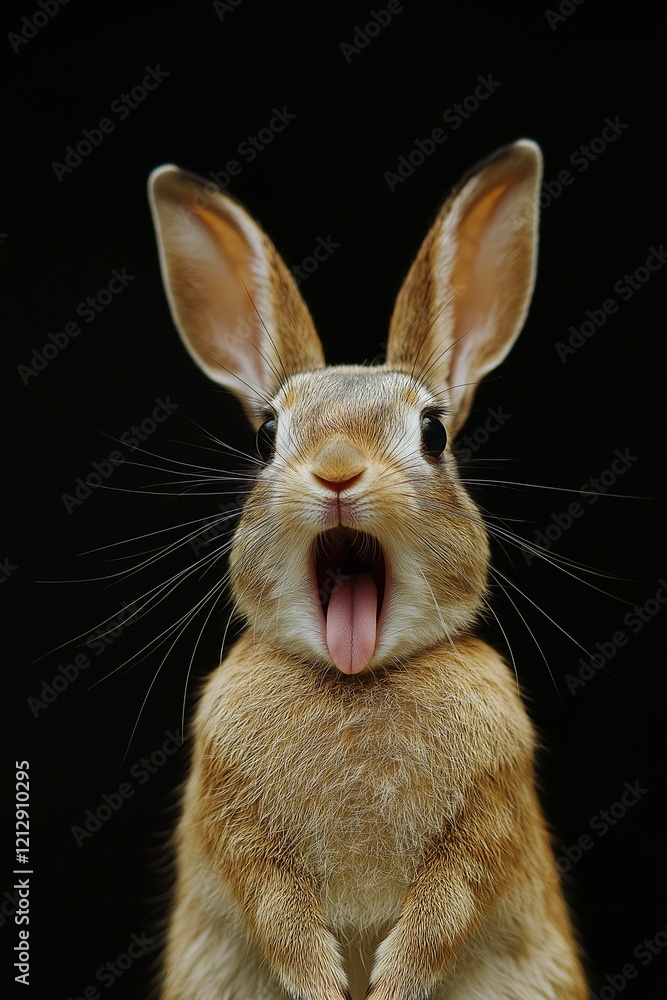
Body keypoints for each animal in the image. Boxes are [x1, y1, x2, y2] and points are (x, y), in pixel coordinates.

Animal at [147, 140, 589, 1000]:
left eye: (433, 432)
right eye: (266, 435)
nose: (337, 470)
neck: (355, 678)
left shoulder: (491, 808)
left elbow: (453, 893)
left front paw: (391, 982)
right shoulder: (228, 812)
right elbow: (270, 896)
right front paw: (322, 982)